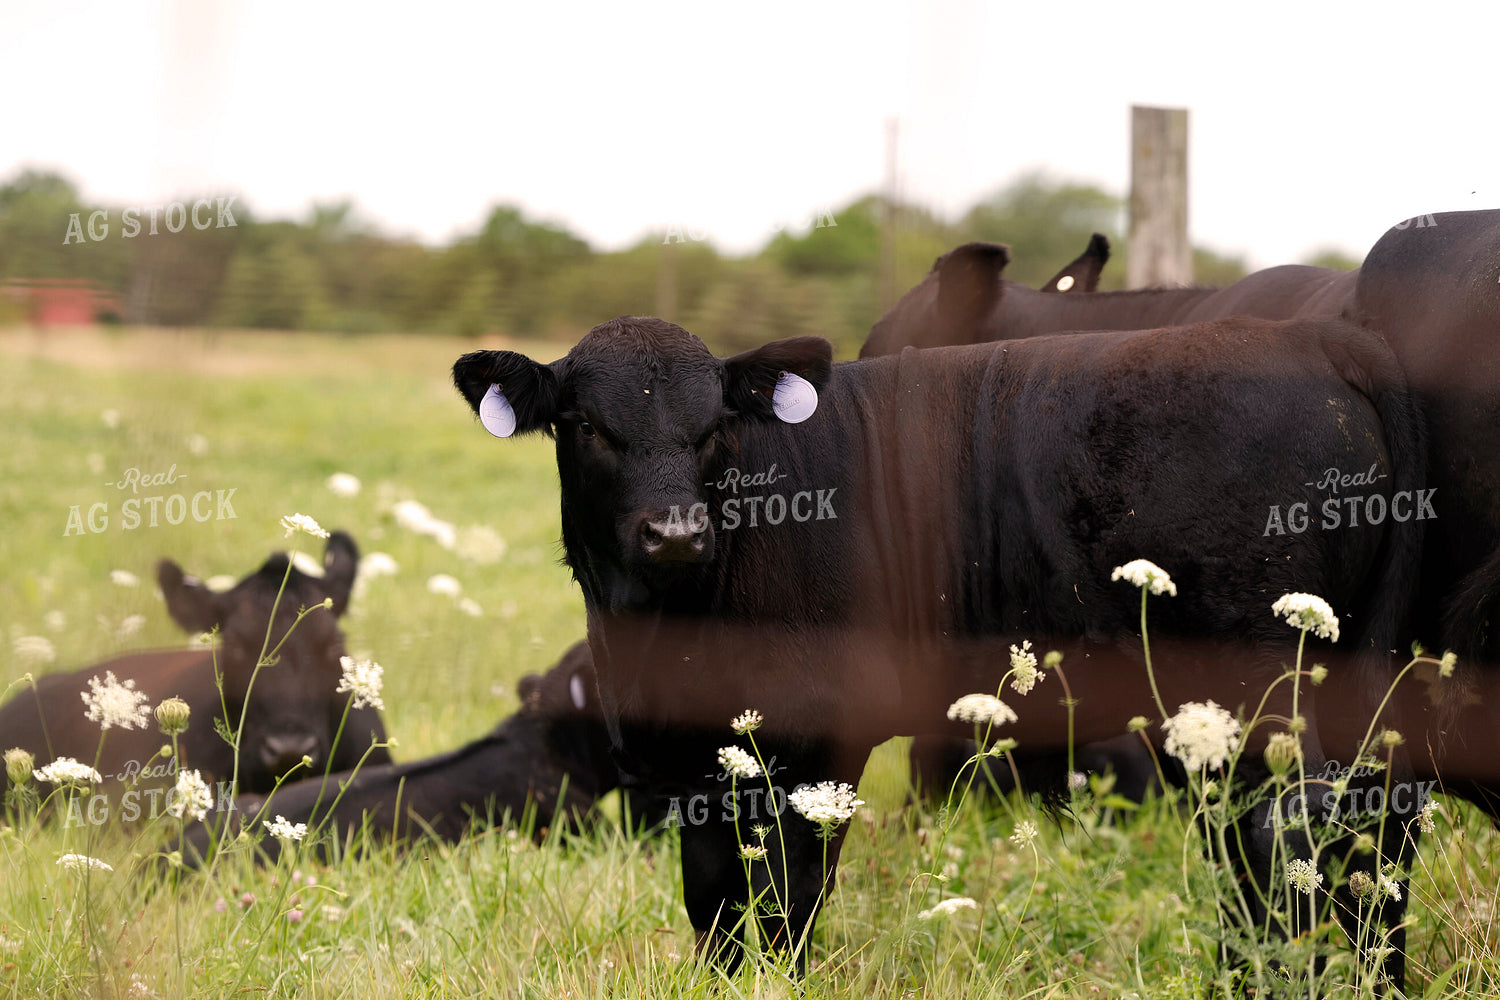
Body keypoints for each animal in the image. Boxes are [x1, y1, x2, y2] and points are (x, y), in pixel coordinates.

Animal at [452, 314, 1424, 980]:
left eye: (713, 429)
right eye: (586, 425)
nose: (676, 532)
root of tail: (1313, 336)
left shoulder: (817, 749)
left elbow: (789, 906)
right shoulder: (694, 766)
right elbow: (715, 907)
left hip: (1257, 696)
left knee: (1284, 840)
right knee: (1372, 831)